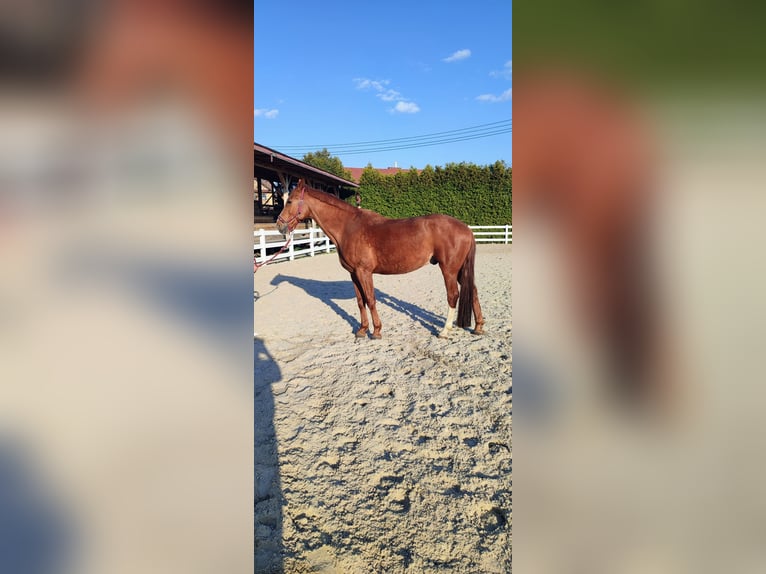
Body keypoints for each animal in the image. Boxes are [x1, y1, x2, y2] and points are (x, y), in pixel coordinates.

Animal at [275, 179, 485, 339]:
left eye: (289, 201)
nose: (279, 225)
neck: (348, 227)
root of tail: (466, 229)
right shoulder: (354, 274)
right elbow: (361, 302)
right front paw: (362, 330)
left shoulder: (364, 272)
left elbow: (371, 299)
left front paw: (376, 331)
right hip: (460, 270)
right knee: (473, 291)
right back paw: (478, 327)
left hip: (449, 269)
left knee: (453, 295)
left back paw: (445, 331)